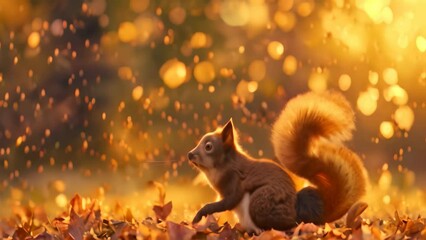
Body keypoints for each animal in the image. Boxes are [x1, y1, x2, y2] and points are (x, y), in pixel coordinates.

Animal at [188, 91, 368, 233]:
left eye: (209, 147)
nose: (190, 155)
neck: (221, 167)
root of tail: (300, 214)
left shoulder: (234, 182)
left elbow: (227, 202)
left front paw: (198, 216)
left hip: (260, 203)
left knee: (284, 227)